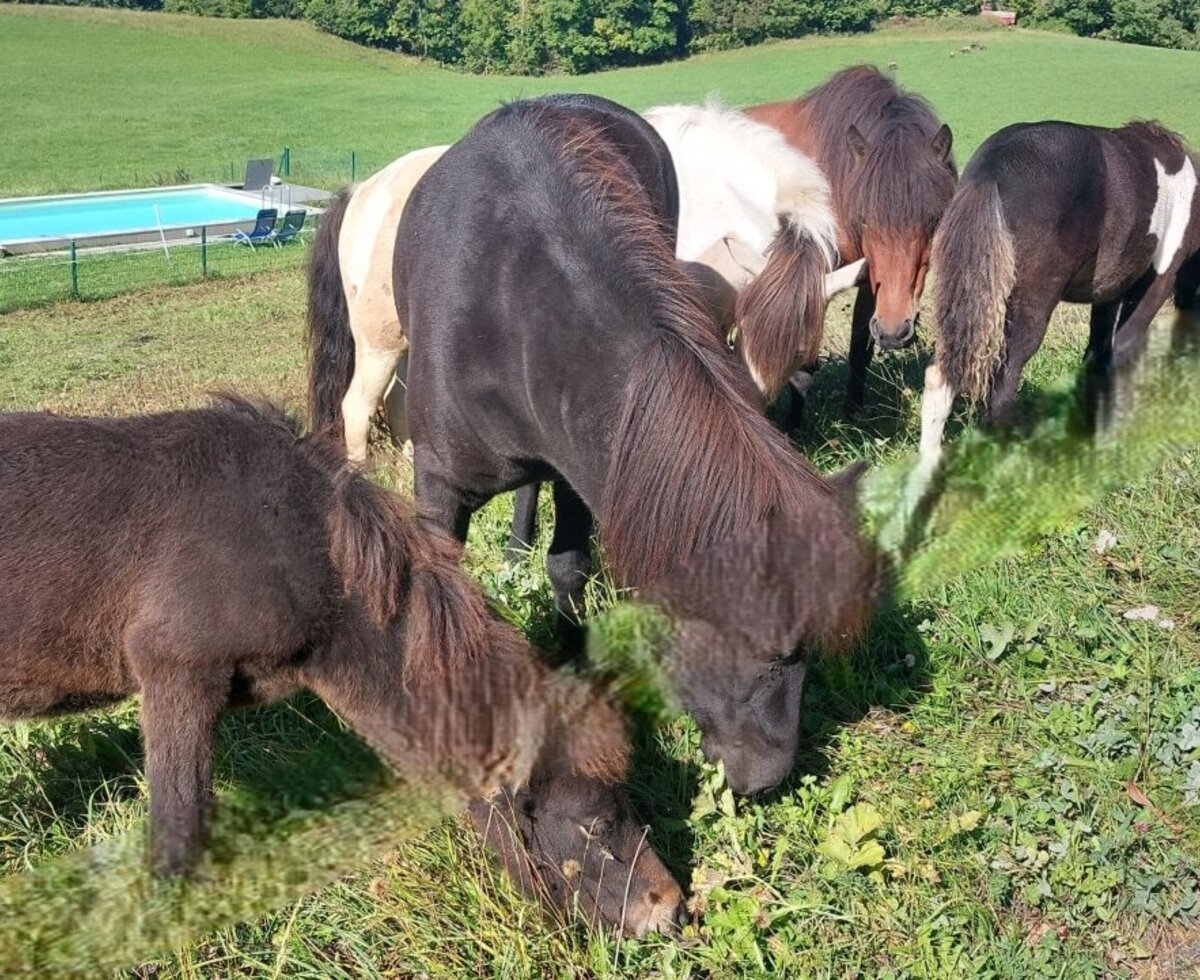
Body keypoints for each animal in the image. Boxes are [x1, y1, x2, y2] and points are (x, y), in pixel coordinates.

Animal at [393, 93, 880, 796]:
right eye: (771, 649)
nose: (767, 778)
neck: (513, 308)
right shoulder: (436, 488)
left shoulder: (583, 462)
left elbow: (568, 566)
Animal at [747, 65, 957, 415]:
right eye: (865, 219)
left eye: (932, 221)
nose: (895, 332)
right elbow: (802, 368)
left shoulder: (870, 281)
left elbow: (861, 349)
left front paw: (854, 413)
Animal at [918, 120, 1200, 462]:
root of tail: (991, 171)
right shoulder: (1158, 282)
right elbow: (1122, 353)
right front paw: (1110, 440)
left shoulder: (1108, 295)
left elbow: (1097, 355)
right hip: (1030, 310)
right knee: (1002, 388)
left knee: (940, 376)